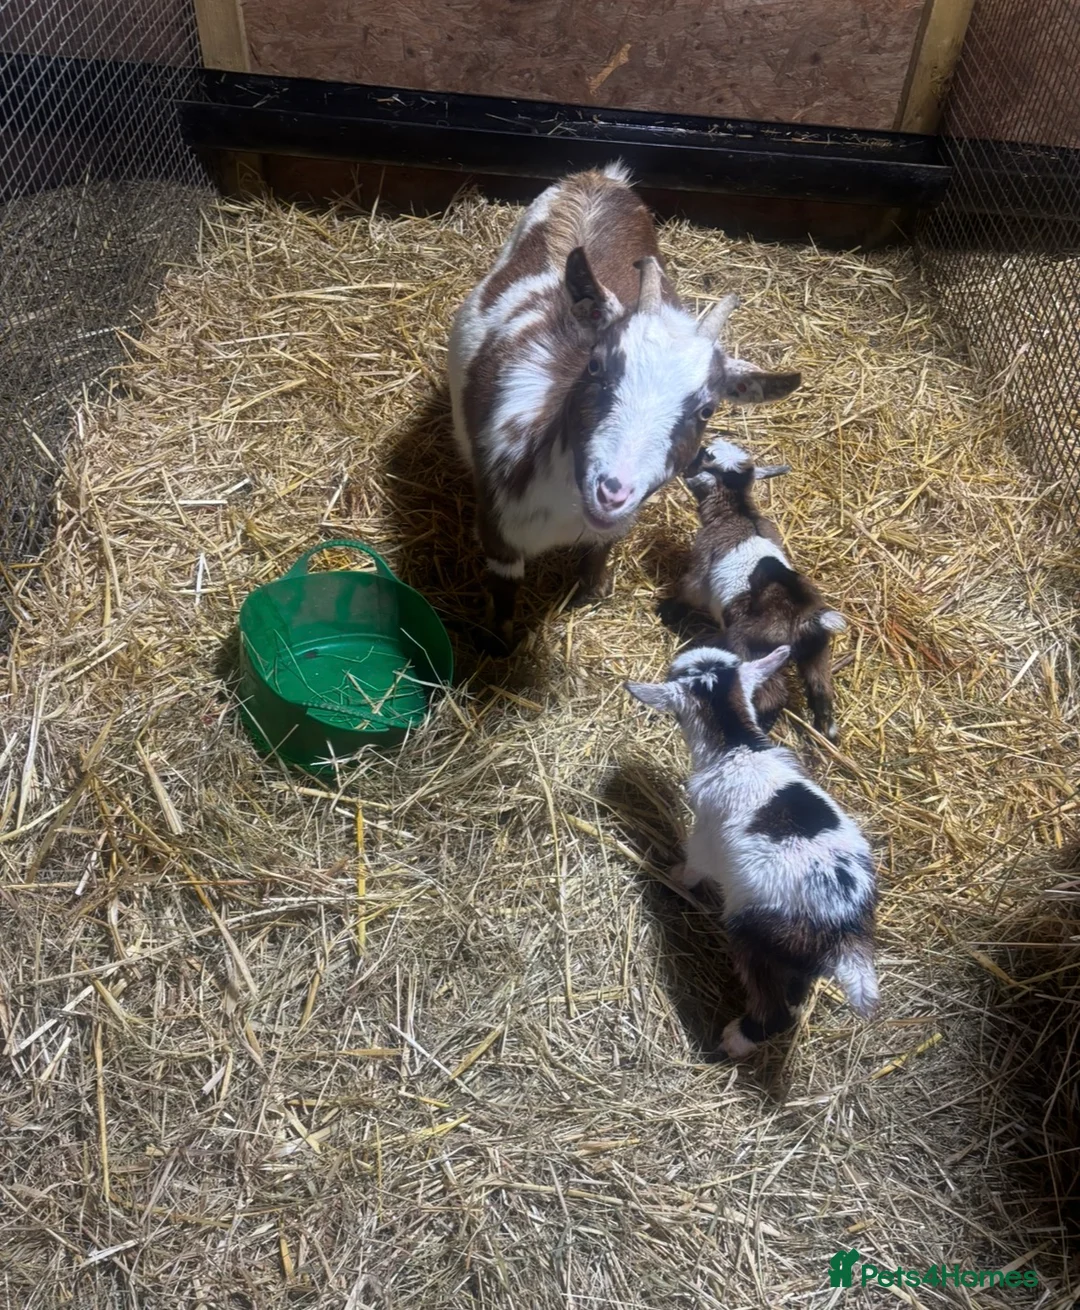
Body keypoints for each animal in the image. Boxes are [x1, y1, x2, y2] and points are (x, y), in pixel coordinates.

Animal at [447, 162, 801, 652]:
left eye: (707, 409)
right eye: (596, 365)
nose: (612, 492)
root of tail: (601, 177)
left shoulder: (614, 526)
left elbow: (599, 554)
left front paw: (594, 590)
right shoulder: (497, 529)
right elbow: (504, 593)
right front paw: (499, 646)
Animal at [625, 644, 878, 1059]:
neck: (737, 748)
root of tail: (843, 930)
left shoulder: (704, 834)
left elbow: (694, 866)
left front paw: (675, 877)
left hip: (756, 937)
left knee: (776, 1010)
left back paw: (736, 1039)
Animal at [676, 436, 846, 739]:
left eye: (704, 455)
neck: (738, 512)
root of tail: (807, 618)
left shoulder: (702, 561)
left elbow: (690, 590)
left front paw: (667, 613)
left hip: (753, 647)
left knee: (772, 695)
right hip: (817, 651)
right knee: (821, 688)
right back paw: (826, 731)